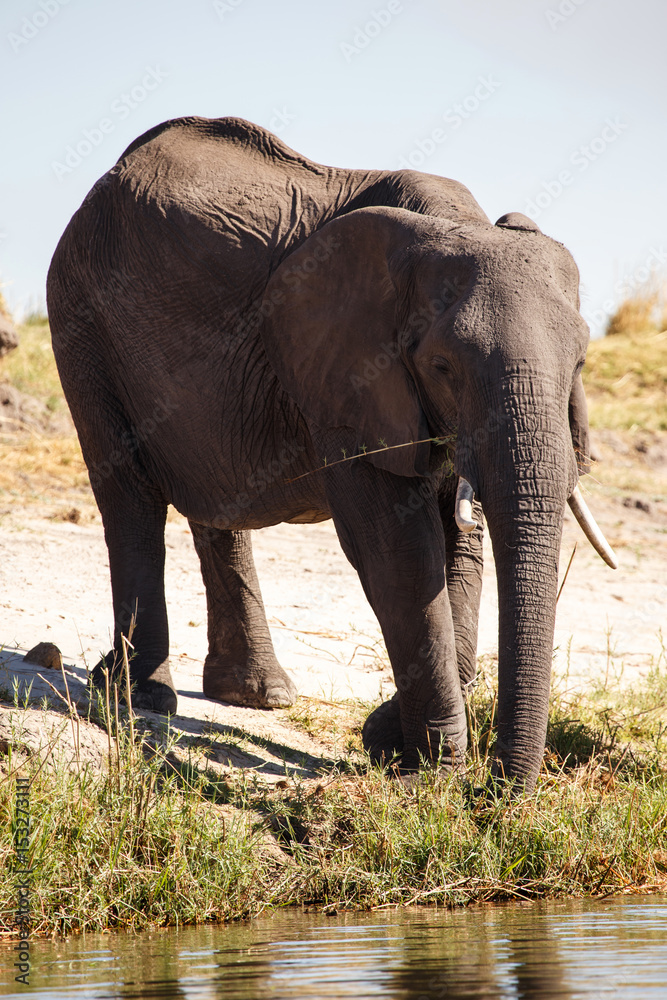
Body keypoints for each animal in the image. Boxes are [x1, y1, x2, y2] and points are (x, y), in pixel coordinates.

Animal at [47, 116, 616, 792]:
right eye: (443, 367)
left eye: (579, 362)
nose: (497, 793)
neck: (450, 225)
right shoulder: (348, 377)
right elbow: (397, 549)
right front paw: (430, 774)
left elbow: (460, 546)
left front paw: (391, 743)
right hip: (81, 320)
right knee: (129, 499)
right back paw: (137, 696)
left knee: (216, 504)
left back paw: (256, 695)